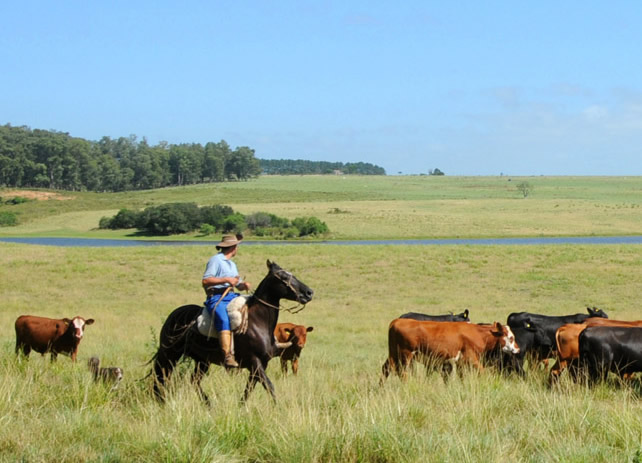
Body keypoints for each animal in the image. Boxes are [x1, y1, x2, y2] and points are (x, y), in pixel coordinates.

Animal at [148, 262, 312, 404]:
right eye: (283, 277)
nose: (309, 292)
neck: (258, 322)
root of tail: (174, 315)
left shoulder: (260, 365)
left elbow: (249, 390)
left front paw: (241, 407)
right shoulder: (255, 362)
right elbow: (269, 386)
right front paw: (277, 408)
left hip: (202, 361)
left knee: (193, 381)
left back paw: (208, 404)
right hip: (169, 355)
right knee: (161, 378)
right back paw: (163, 402)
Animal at [378, 320, 516, 384]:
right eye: (511, 337)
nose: (518, 348)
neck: (477, 333)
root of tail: (397, 321)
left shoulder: (460, 362)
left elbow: (461, 376)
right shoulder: (471, 358)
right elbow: (481, 371)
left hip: (394, 354)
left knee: (386, 369)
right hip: (405, 355)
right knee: (402, 373)